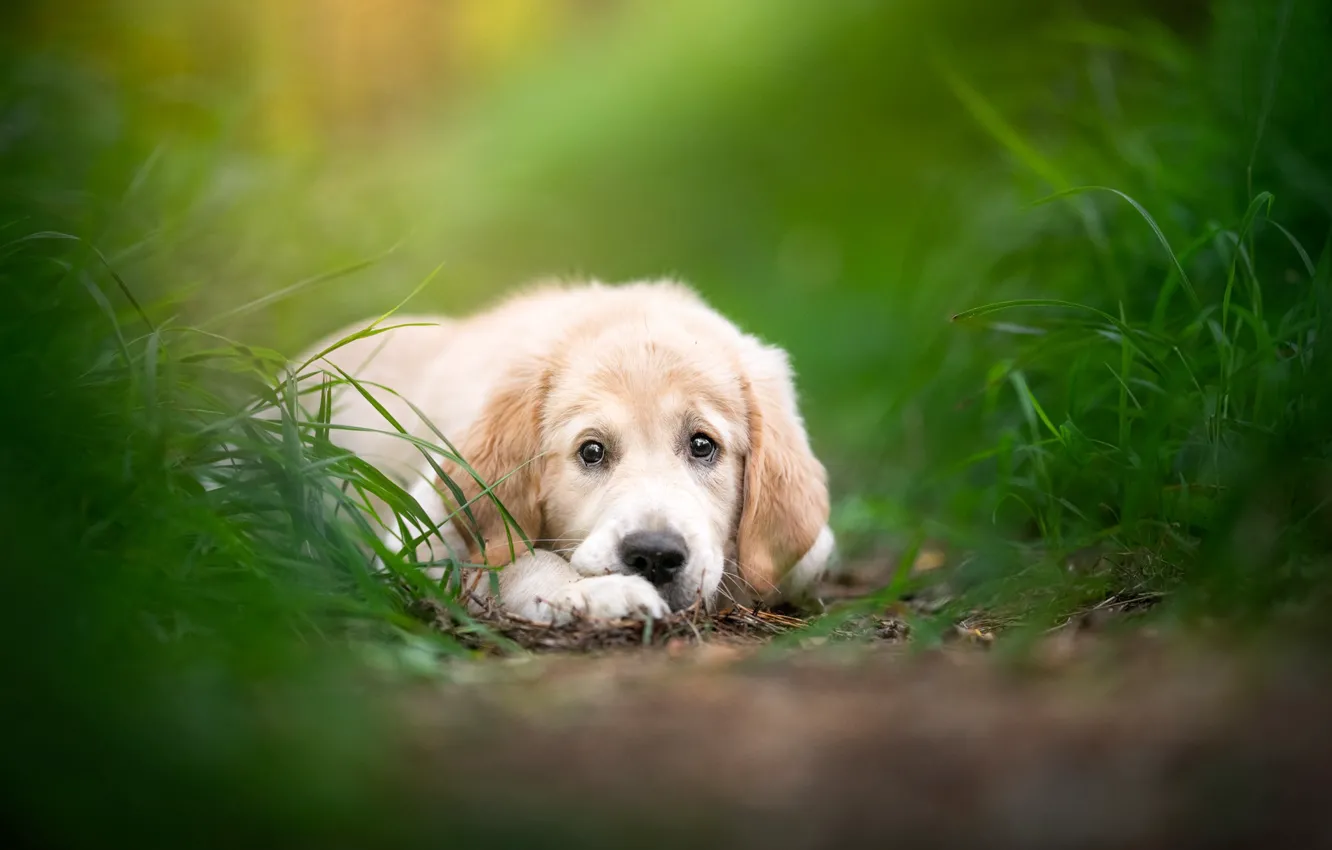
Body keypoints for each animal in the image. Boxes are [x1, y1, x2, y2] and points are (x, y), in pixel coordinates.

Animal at [297, 279, 831, 626]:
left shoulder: (811, 553)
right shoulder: (424, 536)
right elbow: (520, 561)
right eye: (591, 451)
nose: (654, 557)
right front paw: (597, 593)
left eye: (703, 445)